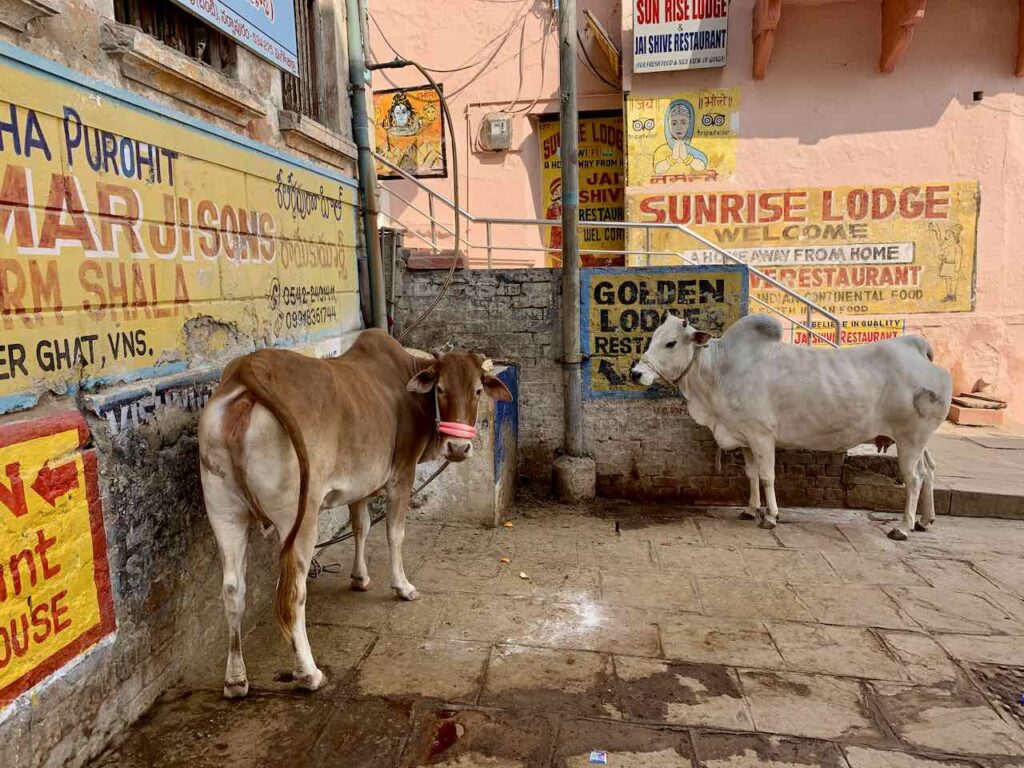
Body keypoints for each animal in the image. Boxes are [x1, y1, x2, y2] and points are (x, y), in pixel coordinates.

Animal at [198, 329, 512, 698]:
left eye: (477, 390)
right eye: (441, 389)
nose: (458, 448)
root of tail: (247, 371)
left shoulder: (358, 484)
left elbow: (361, 526)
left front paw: (359, 578)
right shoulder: (401, 475)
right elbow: (394, 533)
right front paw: (402, 586)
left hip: (224, 512)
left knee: (233, 591)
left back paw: (235, 680)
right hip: (300, 516)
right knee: (294, 593)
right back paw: (309, 673)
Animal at [630, 314, 952, 541]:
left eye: (671, 342)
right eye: (653, 337)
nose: (635, 373)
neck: (721, 370)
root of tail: (918, 350)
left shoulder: (762, 435)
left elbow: (767, 476)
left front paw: (771, 516)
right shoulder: (745, 437)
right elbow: (751, 474)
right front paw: (750, 509)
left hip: (910, 439)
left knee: (914, 478)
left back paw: (904, 527)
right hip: (915, 441)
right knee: (930, 470)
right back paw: (925, 520)